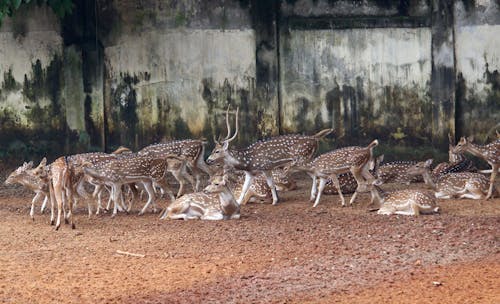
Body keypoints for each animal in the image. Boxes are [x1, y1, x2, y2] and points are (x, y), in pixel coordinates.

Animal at [205, 105, 334, 205]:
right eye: (212, 150)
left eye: (217, 151)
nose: (208, 160)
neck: (247, 161)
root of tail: (315, 138)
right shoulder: (250, 173)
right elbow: (245, 188)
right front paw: (239, 203)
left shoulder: (265, 167)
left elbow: (270, 185)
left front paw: (275, 201)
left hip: (302, 159)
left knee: (316, 174)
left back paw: (313, 196)